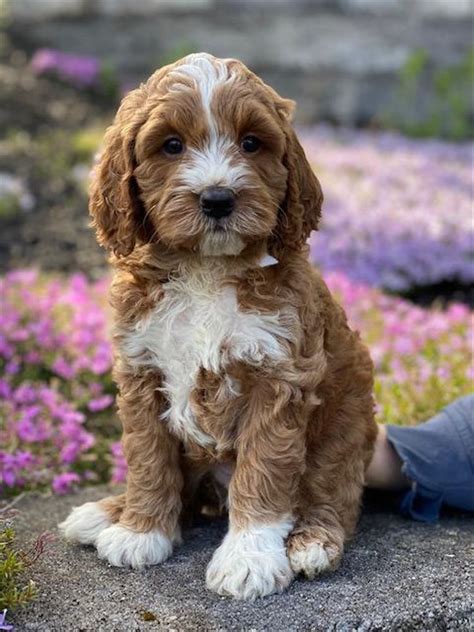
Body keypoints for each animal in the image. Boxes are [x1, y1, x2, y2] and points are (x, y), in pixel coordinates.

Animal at [60, 51, 378, 600]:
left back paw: (312, 541)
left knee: (330, 493)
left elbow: (264, 468)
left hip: (346, 427)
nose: (217, 198)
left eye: (251, 143)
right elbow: (147, 456)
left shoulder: (278, 375)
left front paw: (248, 558)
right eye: (171, 145)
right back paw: (105, 513)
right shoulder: (142, 368)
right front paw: (141, 530)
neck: (204, 268)